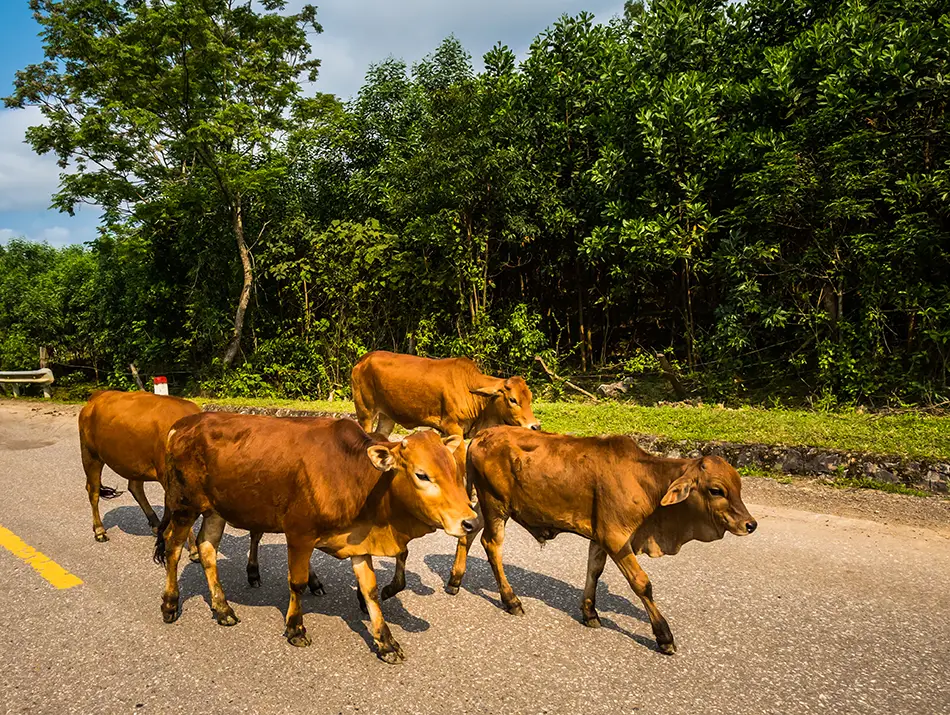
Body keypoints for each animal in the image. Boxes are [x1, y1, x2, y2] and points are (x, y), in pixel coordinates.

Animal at [154, 413, 477, 663]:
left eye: (456, 471)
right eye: (422, 475)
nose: (470, 521)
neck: (352, 474)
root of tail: (183, 424)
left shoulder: (358, 539)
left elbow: (371, 590)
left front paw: (386, 642)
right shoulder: (299, 533)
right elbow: (296, 583)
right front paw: (295, 628)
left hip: (215, 510)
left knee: (207, 550)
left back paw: (222, 609)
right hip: (184, 506)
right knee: (173, 548)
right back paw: (170, 604)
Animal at [351, 350, 540, 599]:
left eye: (529, 398)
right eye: (513, 400)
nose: (535, 426)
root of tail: (363, 360)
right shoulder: (453, 427)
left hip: (386, 417)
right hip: (365, 412)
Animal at [446, 426, 758, 655]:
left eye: (739, 487)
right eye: (716, 490)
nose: (750, 524)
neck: (646, 483)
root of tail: (480, 436)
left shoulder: (600, 537)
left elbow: (593, 571)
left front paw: (590, 612)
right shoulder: (616, 538)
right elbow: (642, 584)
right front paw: (664, 636)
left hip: (486, 506)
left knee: (468, 532)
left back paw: (455, 581)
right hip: (496, 505)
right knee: (491, 544)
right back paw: (510, 600)